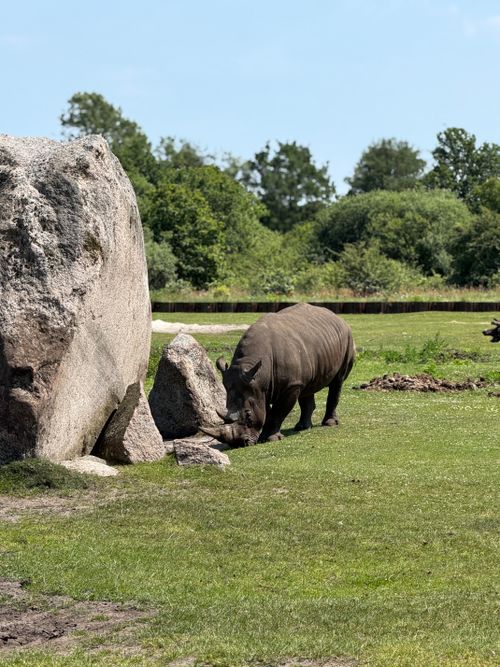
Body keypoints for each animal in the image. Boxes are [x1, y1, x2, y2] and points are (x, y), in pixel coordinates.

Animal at [202, 303, 355, 447]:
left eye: (248, 415)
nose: (239, 444)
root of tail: (337, 317)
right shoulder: (259, 386)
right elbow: (266, 411)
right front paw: (263, 437)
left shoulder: (289, 385)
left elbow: (278, 412)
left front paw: (271, 439)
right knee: (307, 387)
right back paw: (302, 428)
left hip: (348, 338)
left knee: (337, 382)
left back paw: (330, 423)